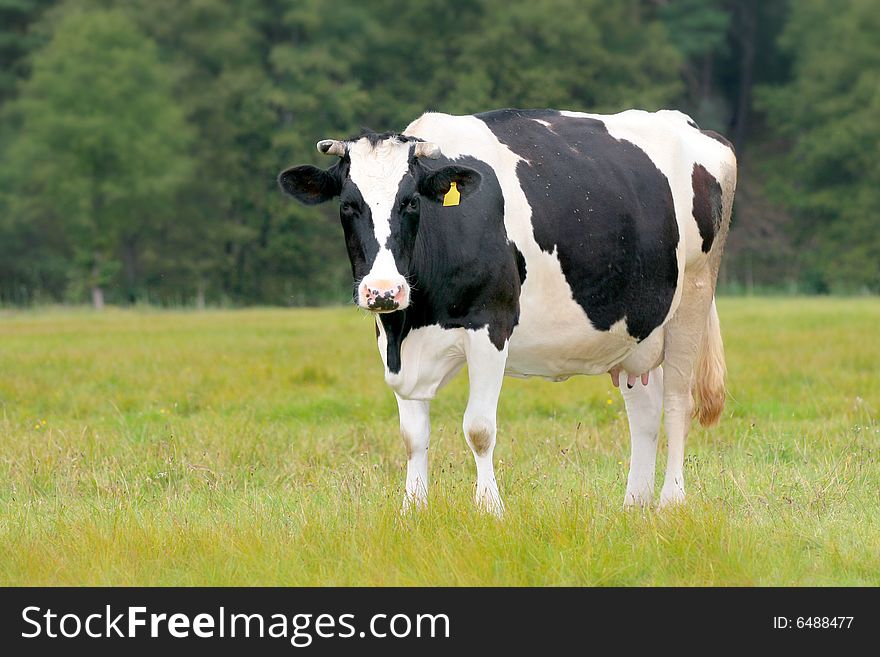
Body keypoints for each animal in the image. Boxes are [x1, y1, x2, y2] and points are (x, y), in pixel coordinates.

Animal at [278, 107, 732, 516]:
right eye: (348, 205)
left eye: (410, 202)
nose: (384, 290)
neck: (414, 320)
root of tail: (690, 125)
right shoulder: (392, 340)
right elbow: (412, 435)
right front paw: (413, 510)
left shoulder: (490, 325)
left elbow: (479, 428)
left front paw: (489, 509)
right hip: (634, 331)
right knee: (645, 411)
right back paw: (634, 505)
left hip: (693, 298)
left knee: (676, 403)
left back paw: (671, 502)